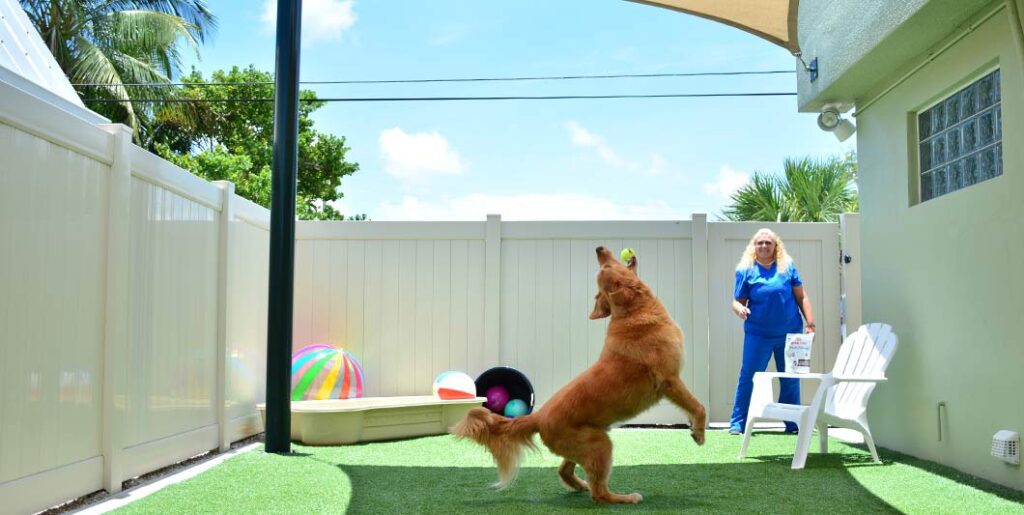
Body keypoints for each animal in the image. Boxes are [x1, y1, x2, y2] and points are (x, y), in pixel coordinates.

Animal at [454, 245, 704, 503]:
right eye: (607, 266)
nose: (599, 248)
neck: (633, 313)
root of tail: (537, 417)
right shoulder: (670, 381)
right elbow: (697, 406)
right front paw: (699, 433)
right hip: (600, 445)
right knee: (599, 493)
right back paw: (624, 497)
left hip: (587, 443)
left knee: (565, 471)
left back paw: (580, 485)